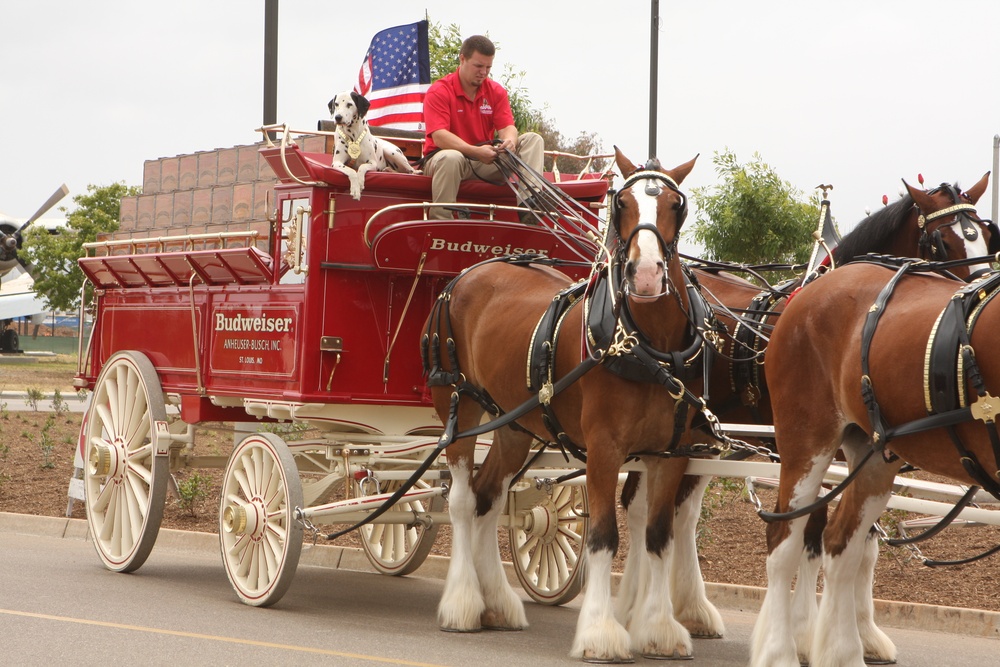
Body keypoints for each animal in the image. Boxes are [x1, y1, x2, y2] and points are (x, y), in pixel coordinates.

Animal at [424, 149, 712, 664]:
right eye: (621, 204)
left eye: (676, 205)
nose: (645, 275)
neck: (647, 345)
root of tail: (470, 272)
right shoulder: (604, 448)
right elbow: (603, 536)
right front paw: (600, 631)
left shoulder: (671, 454)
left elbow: (659, 537)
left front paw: (659, 629)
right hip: (458, 405)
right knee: (461, 500)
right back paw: (462, 602)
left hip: (513, 425)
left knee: (487, 498)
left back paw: (496, 602)